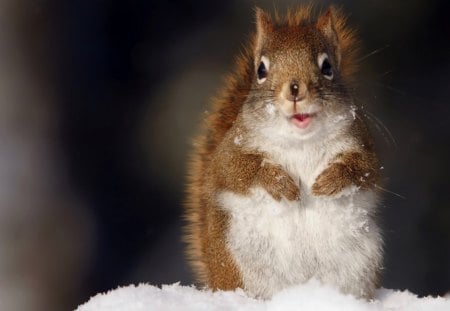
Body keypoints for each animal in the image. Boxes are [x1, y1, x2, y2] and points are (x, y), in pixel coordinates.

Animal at [183, 4, 384, 302]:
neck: (300, 141)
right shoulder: (230, 151)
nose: (295, 89)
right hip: (239, 262)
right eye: (260, 70)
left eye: (327, 67)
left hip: (358, 265)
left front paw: (331, 179)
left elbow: (364, 170)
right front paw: (279, 182)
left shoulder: (361, 143)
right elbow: (237, 171)